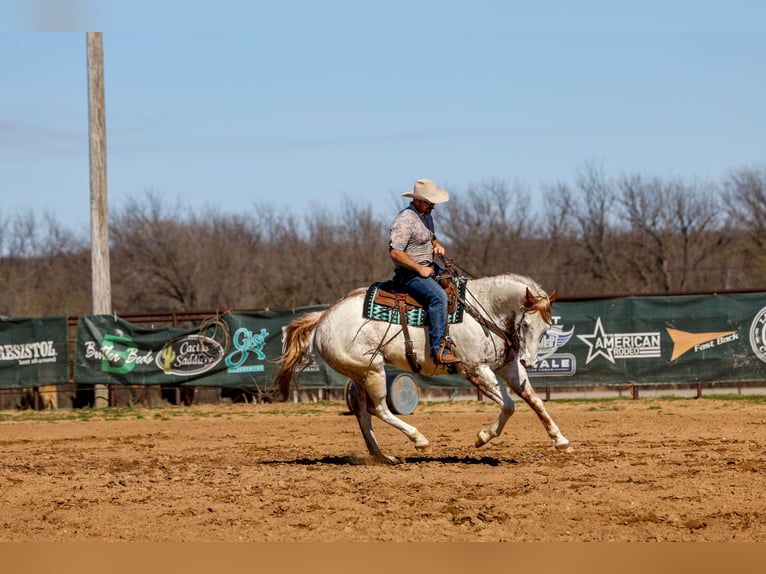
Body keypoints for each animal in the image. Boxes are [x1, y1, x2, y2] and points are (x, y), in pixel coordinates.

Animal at [274, 272, 571, 464]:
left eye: (546, 328)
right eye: (526, 324)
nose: (529, 361)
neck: (486, 310)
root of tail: (324, 315)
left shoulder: (507, 367)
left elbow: (534, 400)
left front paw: (560, 440)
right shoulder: (476, 370)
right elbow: (508, 405)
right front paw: (483, 436)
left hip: (359, 373)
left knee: (362, 411)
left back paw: (381, 456)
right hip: (373, 371)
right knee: (377, 408)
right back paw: (419, 440)